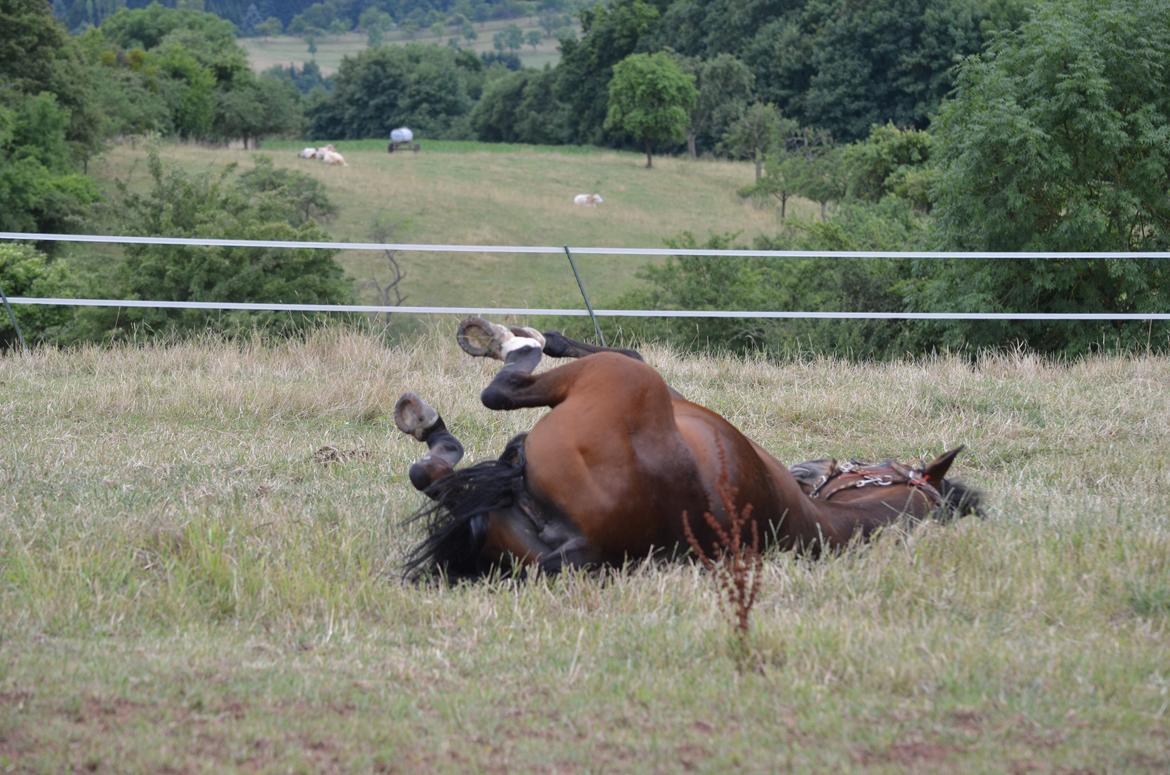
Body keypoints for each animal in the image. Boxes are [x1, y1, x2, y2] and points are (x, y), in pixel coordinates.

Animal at [397, 318, 982, 580]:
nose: (817, 465)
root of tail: (582, 541)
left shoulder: (657, 386)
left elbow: (627, 348)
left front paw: (535, 338)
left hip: (618, 380)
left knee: (496, 397)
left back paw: (494, 353)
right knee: (433, 477)